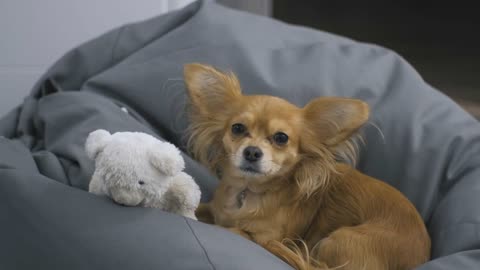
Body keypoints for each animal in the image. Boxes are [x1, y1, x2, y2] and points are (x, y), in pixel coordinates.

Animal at [184, 63, 432, 270]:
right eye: (237, 128)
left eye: (281, 138)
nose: (252, 152)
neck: (248, 192)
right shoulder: (215, 208)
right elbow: (202, 208)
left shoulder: (264, 237)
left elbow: (233, 230)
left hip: (337, 240)